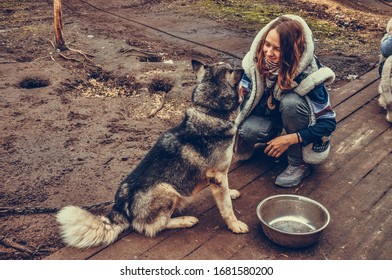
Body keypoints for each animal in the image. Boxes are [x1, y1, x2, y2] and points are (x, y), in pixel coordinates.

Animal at [56, 60, 248, 248]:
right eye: (230, 68)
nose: (242, 68)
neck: (210, 113)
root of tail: (121, 207)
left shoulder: (218, 177)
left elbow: (225, 193)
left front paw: (230, 192)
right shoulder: (217, 175)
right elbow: (227, 207)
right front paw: (234, 225)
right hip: (166, 189)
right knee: (152, 227)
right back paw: (185, 220)